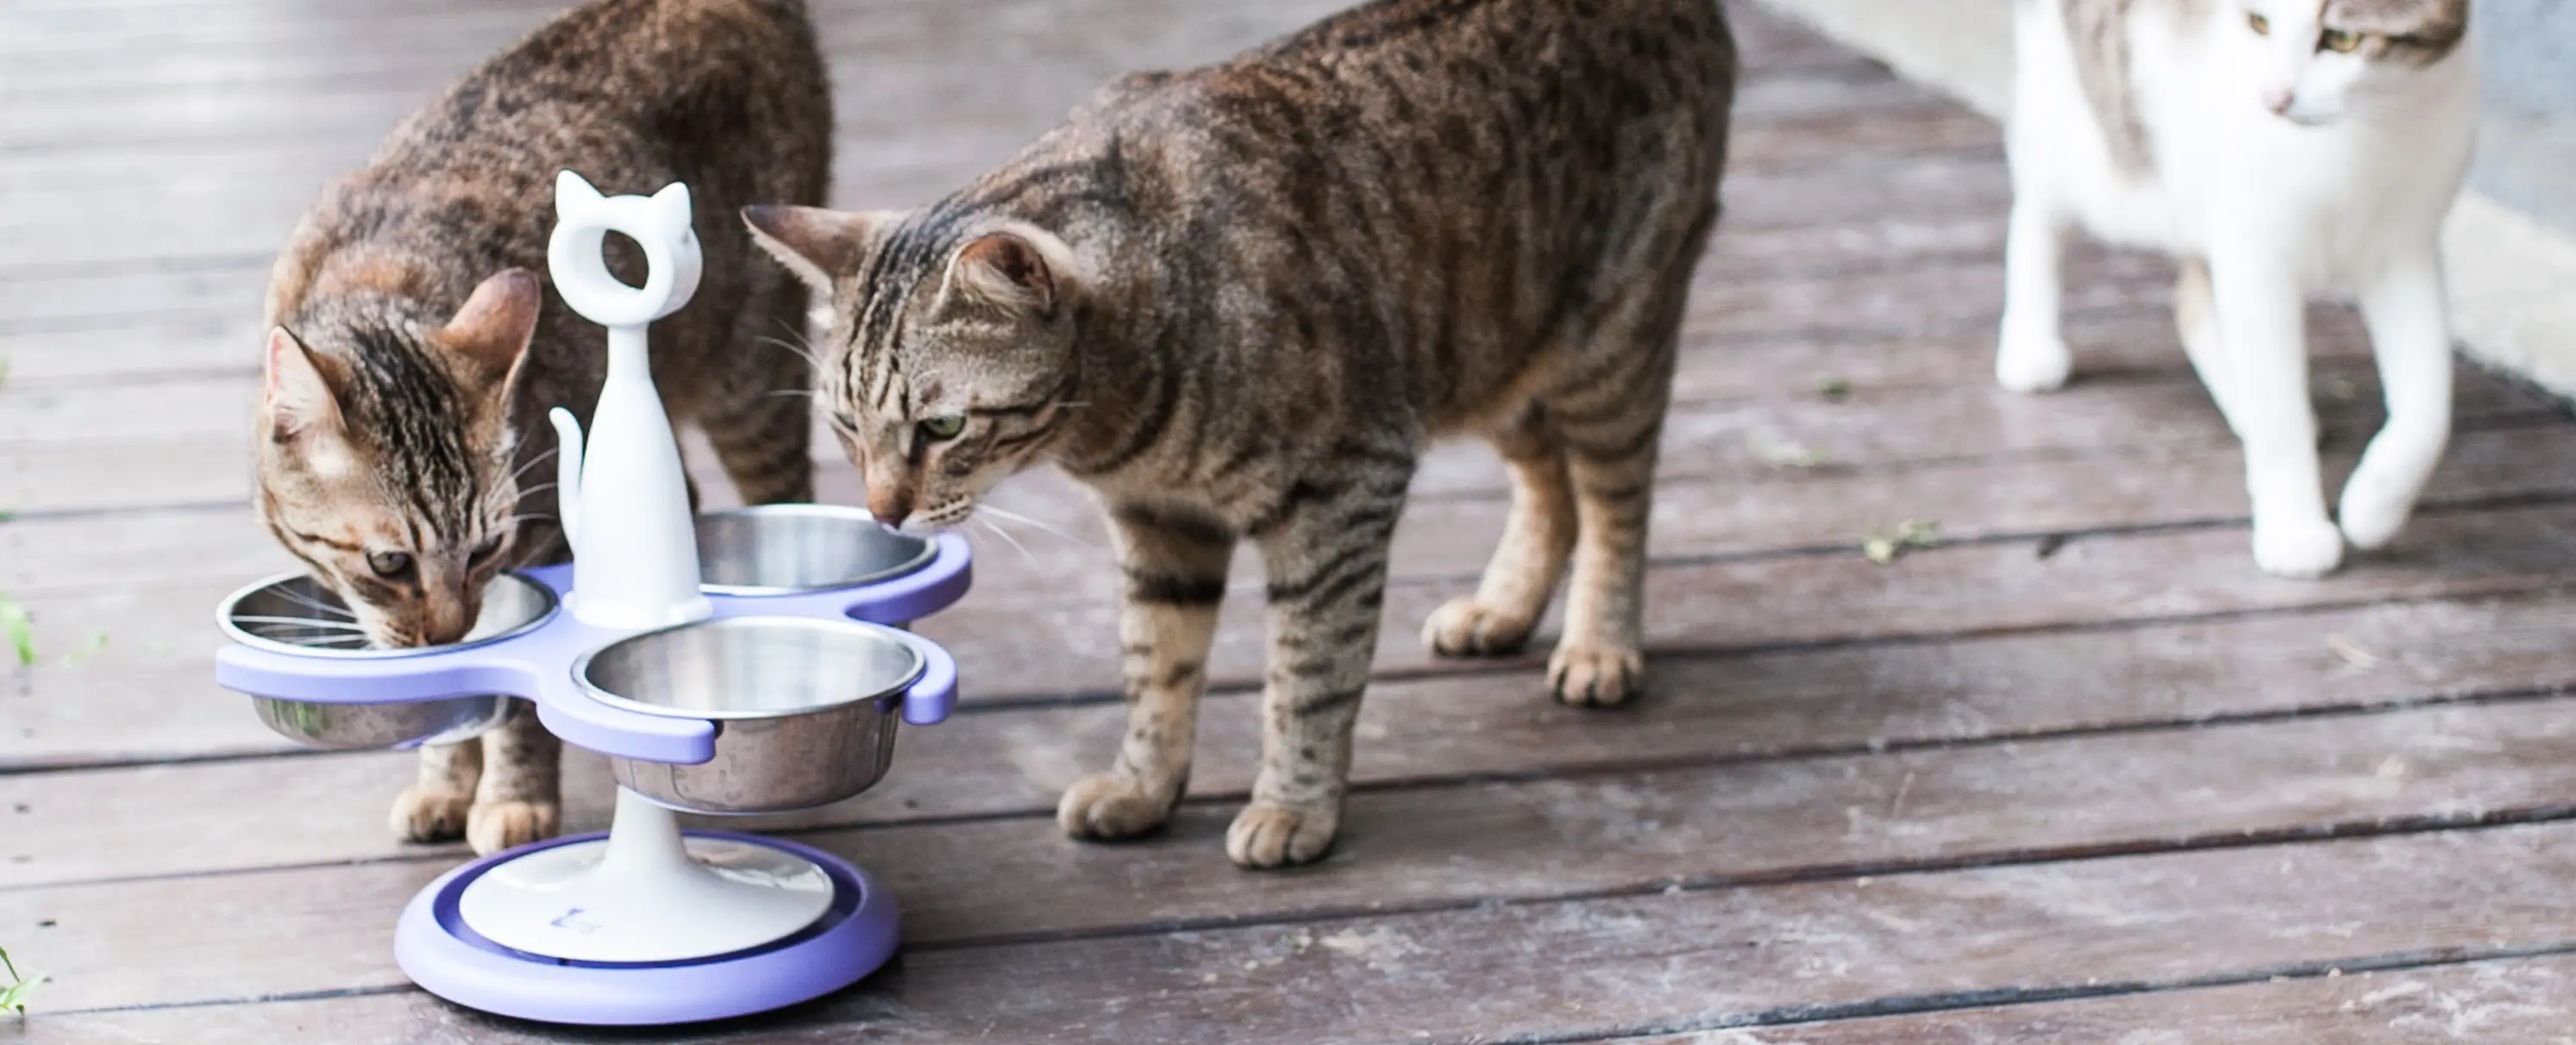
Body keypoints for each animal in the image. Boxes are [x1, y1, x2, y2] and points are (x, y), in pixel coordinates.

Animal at [256, 0, 829, 854]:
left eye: (485, 549)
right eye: (390, 563)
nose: (450, 629)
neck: (383, 279)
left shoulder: (546, 539)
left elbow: (518, 712)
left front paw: (513, 797)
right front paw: (446, 780)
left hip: (749, 384)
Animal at [752, 0, 1752, 865]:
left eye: (942, 425)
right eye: (845, 426)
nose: (884, 512)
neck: (1115, 414)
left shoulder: (1344, 492)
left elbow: (1309, 673)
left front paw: (1292, 808)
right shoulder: (1158, 522)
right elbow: (1155, 667)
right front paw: (1142, 786)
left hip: (1605, 343)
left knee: (1615, 498)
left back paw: (1599, 645)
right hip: (1486, 350)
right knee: (1548, 481)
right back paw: (1502, 608)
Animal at [1998, 0, 2483, 576]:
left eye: (2342, 40)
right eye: (2258, 24)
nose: (2274, 99)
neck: (2359, 136)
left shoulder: (2404, 249)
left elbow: (2430, 411)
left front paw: (2374, 509)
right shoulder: (2256, 257)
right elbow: (2278, 408)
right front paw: (2293, 532)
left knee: (2192, 303)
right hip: (2090, 141)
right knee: (2041, 207)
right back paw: (2029, 346)